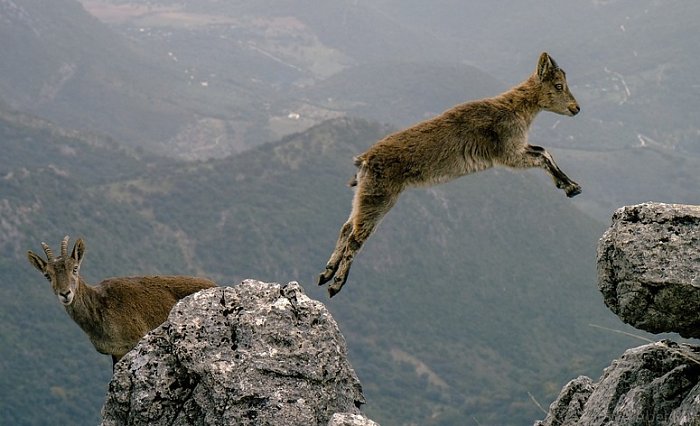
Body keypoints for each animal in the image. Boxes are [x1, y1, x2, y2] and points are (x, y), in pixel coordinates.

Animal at [27, 236, 217, 367]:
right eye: (47, 275)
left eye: (74, 268)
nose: (65, 294)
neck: (99, 306)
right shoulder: (116, 351)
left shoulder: (134, 341)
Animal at [318, 52, 581, 297]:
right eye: (558, 85)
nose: (576, 108)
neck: (516, 108)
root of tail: (364, 160)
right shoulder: (509, 153)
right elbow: (542, 156)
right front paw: (570, 187)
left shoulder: (518, 149)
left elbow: (544, 151)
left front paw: (571, 186)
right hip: (380, 197)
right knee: (356, 236)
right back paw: (335, 284)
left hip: (365, 194)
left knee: (346, 227)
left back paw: (326, 272)